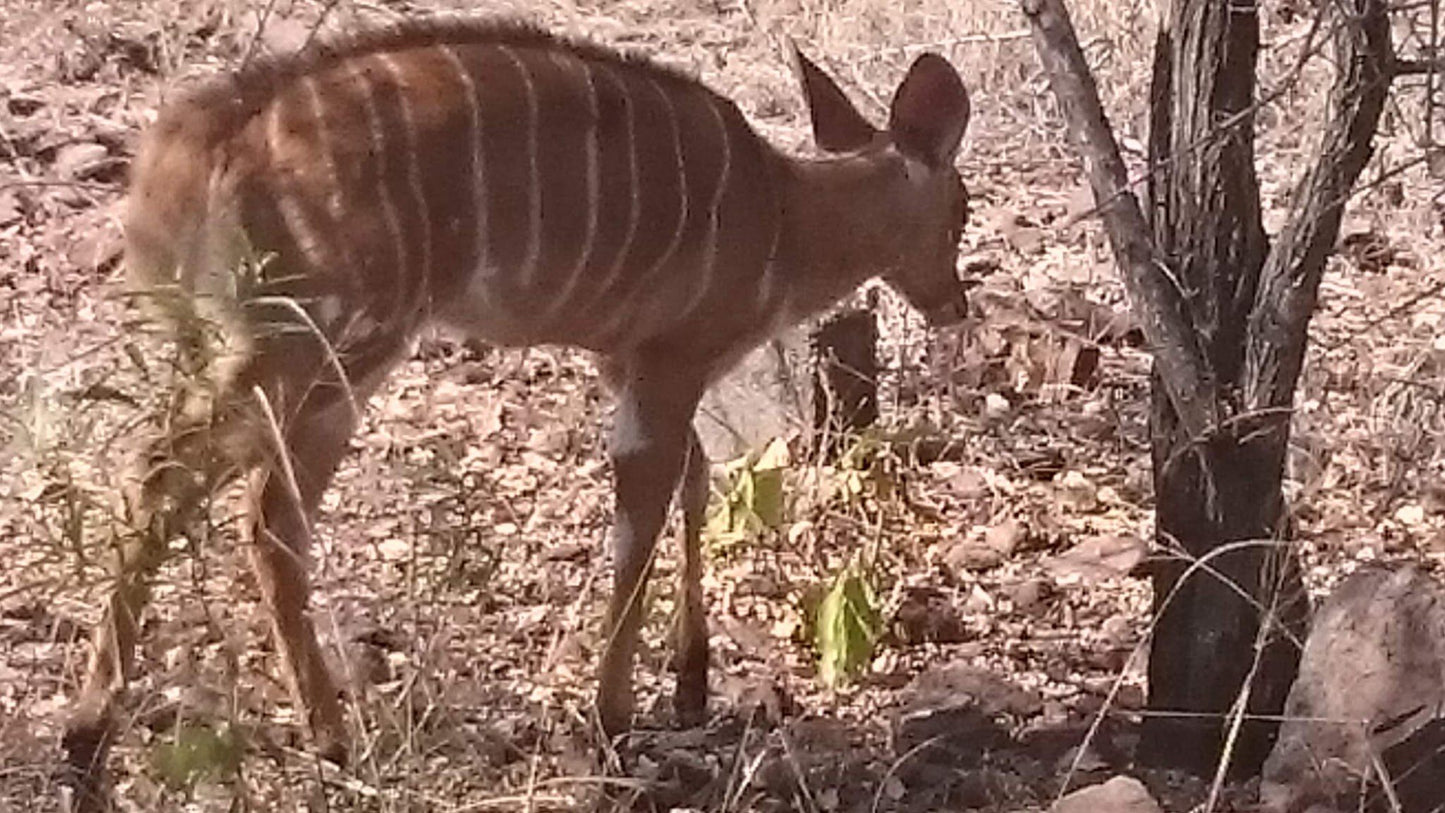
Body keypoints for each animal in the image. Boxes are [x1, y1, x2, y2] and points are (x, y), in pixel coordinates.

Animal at [62, 15, 976, 797]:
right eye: (961, 209)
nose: (953, 303)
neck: (784, 220)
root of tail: (197, 145)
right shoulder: (669, 363)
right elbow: (640, 521)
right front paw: (610, 725)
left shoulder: (626, 362)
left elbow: (693, 476)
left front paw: (690, 682)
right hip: (312, 339)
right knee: (166, 477)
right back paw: (87, 739)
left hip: (320, 362)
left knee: (266, 514)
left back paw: (326, 737)